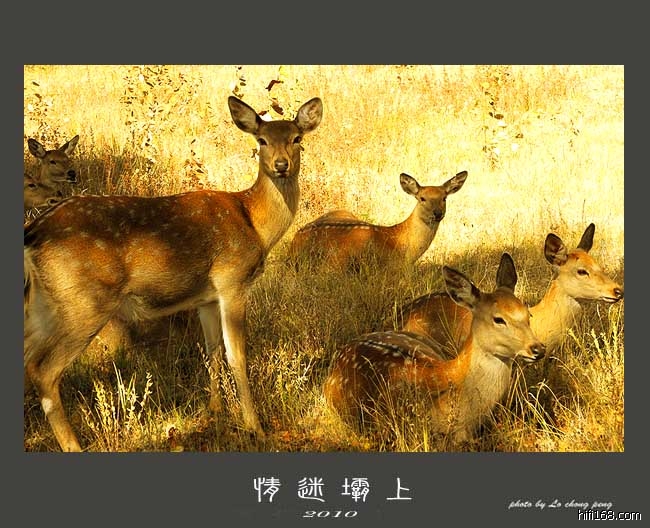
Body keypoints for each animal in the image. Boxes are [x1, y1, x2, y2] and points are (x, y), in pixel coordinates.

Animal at [24, 96, 323, 451]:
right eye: (261, 140)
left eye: (297, 138)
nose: (281, 165)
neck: (254, 225)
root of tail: (33, 232)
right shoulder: (232, 280)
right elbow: (237, 356)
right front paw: (255, 426)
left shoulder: (206, 298)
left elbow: (213, 352)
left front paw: (215, 410)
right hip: (85, 301)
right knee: (44, 369)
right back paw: (73, 445)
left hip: (44, 304)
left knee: (27, 357)